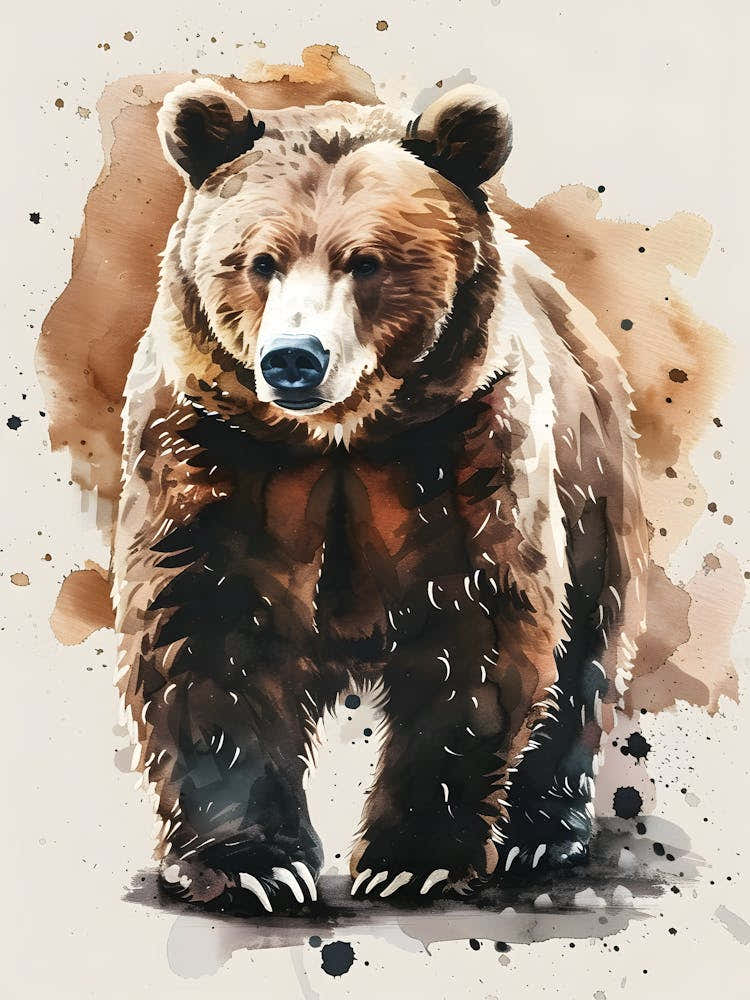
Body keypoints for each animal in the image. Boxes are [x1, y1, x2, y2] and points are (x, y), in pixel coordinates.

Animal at [113, 77, 649, 910]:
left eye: (365, 261)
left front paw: (411, 859)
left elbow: (480, 635)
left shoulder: (463, 451)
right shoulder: (213, 452)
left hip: (590, 475)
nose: (294, 358)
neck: (339, 441)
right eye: (260, 260)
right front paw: (253, 866)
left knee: (584, 652)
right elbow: (201, 630)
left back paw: (541, 835)